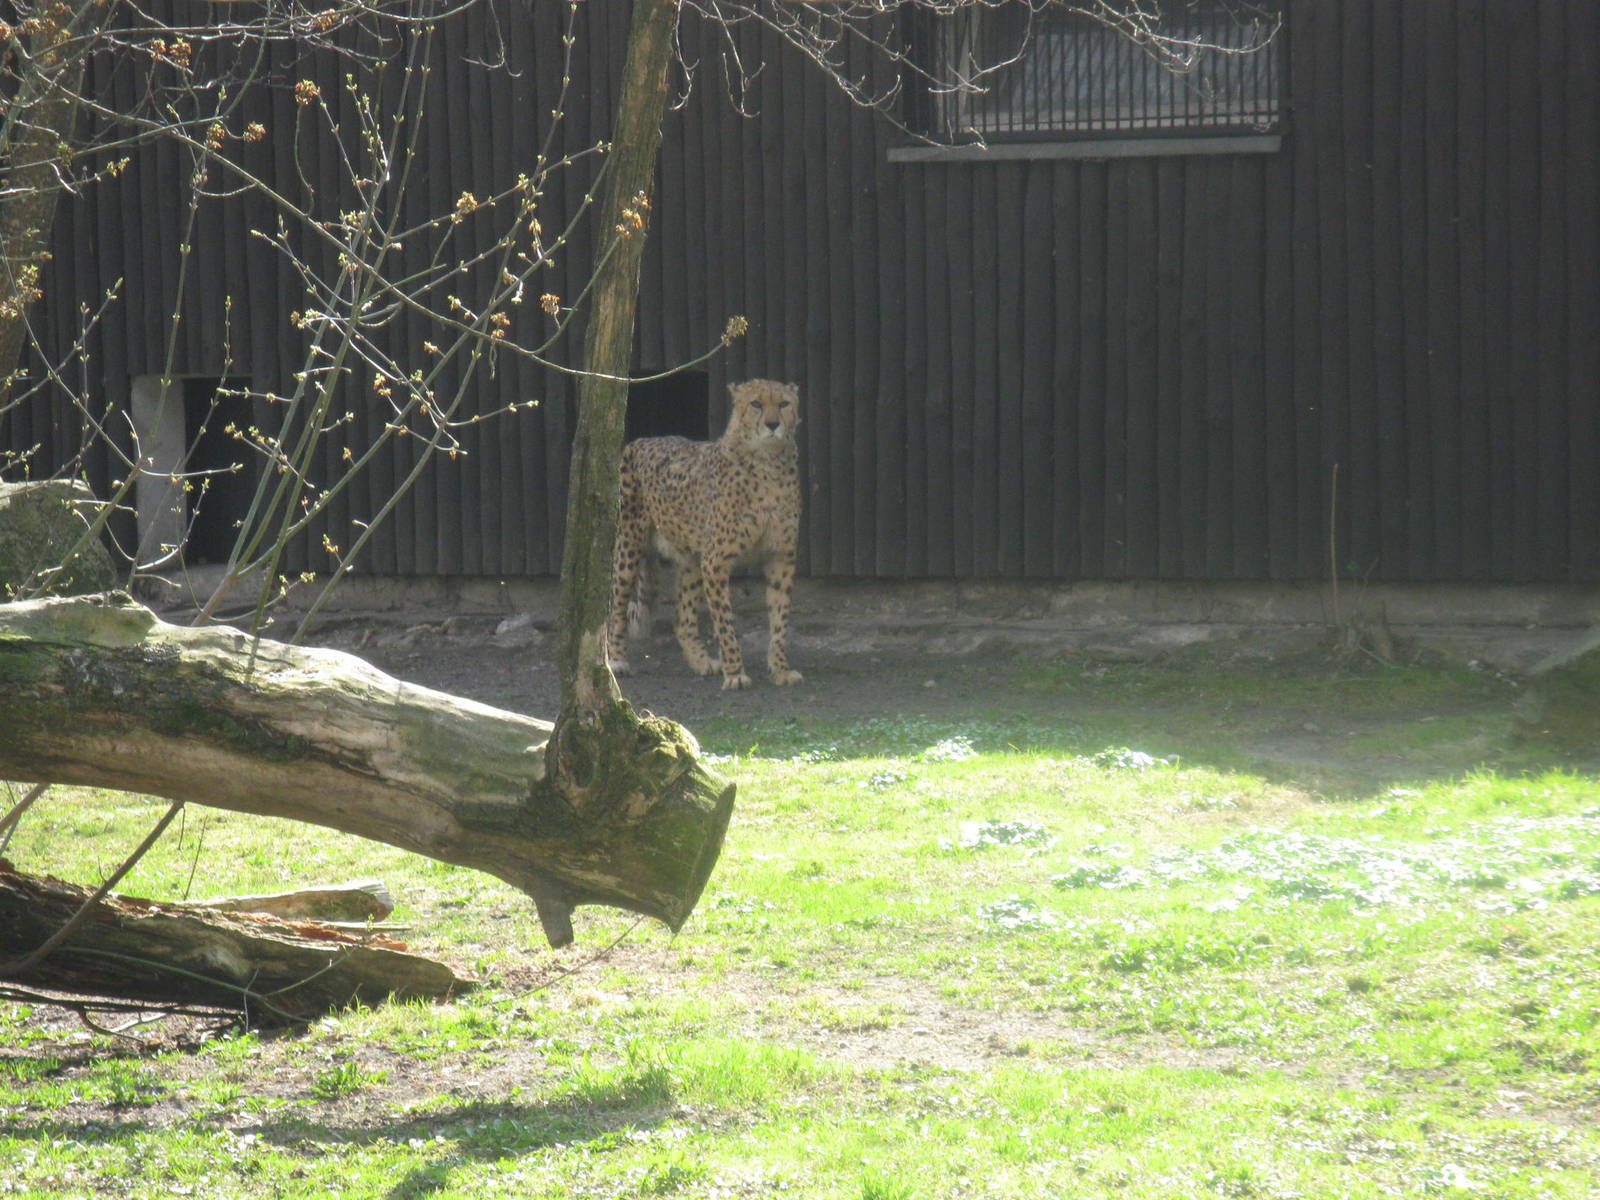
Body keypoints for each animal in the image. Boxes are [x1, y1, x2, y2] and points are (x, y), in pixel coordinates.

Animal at [607, 379, 803, 690]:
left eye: (784, 404)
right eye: (756, 404)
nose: (772, 424)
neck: (767, 462)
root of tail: (642, 440)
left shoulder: (780, 557)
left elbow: (780, 617)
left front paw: (780, 669)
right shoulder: (716, 561)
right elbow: (725, 622)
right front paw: (735, 673)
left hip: (691, 558)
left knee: (683, 620)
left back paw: (700, 661)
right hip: (629, 544)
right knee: (615, 607)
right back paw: (615, 661)